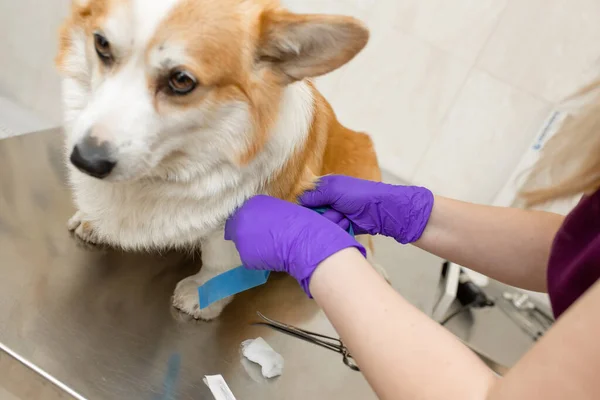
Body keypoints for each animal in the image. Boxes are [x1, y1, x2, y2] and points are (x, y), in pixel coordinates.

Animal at [57, 0, 384, 320]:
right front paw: (93, 222)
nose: (85, 160)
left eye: (181, 80)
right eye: (101, 44)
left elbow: (219, 260)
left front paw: (202, 295)